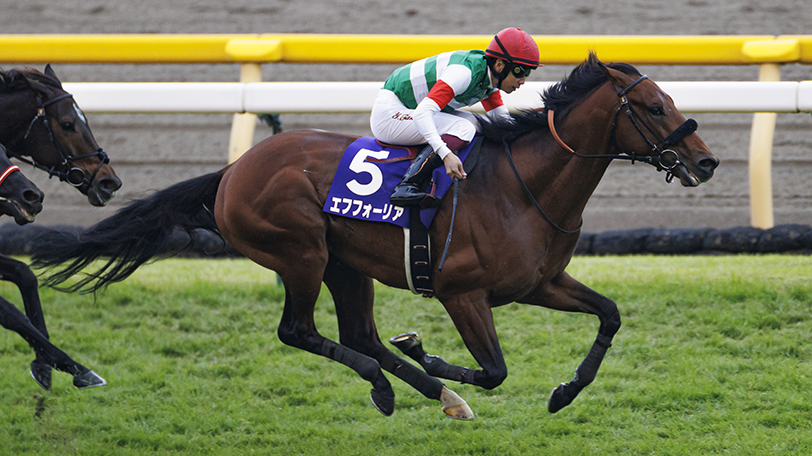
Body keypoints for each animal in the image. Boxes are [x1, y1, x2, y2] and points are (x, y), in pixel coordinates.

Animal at [32, 54, 718, 418]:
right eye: (653, 107)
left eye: (669, 98)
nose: (707, 161)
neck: (526, 188)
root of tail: (233, 171)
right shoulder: (462, 292)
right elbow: (494, 369)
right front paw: (433, 353)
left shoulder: (540, 282)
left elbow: (610, 314)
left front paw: (564, 392)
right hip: (300, 252)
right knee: (298, 331)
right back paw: (392, 386)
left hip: (346, 263)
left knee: (358, 333)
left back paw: (436, 394)